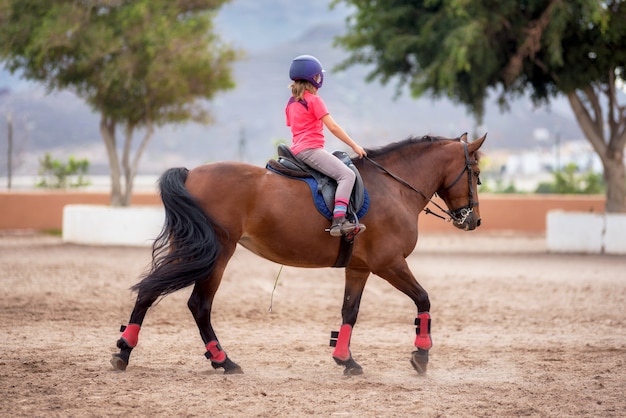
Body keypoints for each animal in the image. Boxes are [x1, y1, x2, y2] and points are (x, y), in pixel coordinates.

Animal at [109, 132, 486, 374]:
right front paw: (421, 355)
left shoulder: (360, 268)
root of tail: (191, 174)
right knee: (197, 305)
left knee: (151, 290)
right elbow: (423, 299)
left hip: (194, 249)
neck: (392, 187)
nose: (474, 221)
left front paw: (345, 359)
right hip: (217, 253)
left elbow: (349, 312)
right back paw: (221, 360)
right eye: (477, 174)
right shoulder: (389, 264)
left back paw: (127, 350)